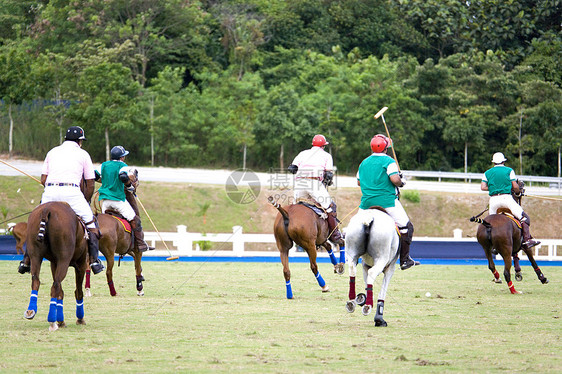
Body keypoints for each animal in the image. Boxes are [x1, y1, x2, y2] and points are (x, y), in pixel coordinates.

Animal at [23, 203, 87, 332]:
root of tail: (47, 209)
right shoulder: (81, 264)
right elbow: (78, 291)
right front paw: (79, 319)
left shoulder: (54, 263)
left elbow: (61, 293)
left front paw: (61, 321)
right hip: (64, 259)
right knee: (55, 285)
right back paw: (52, 321)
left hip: (35, 255)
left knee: (36, 280)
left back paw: (31, 311)